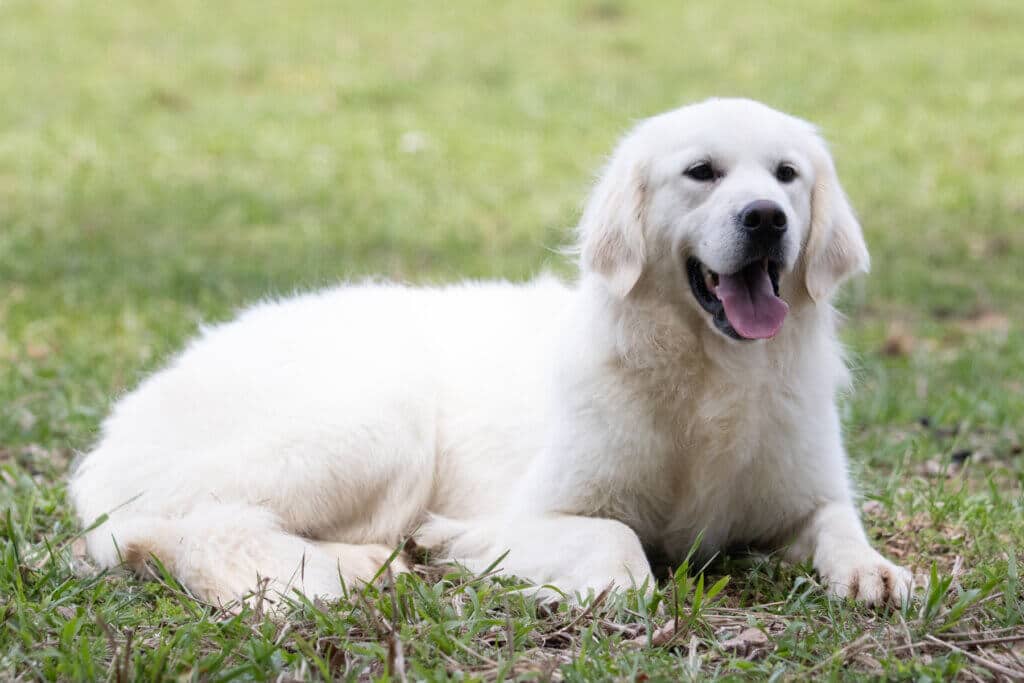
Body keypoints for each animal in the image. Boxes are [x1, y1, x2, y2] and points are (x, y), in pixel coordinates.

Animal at [72, 98, 913, 606]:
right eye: (702, 172)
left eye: (787, 175)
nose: (767, 217)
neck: (711, 376)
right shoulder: (544, 508)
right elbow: (620, 550)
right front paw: (465, 542)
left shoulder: (808, 493)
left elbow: (840, 523)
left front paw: (875, 570)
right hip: (377, 418)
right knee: (195, 526)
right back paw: (357, 563)